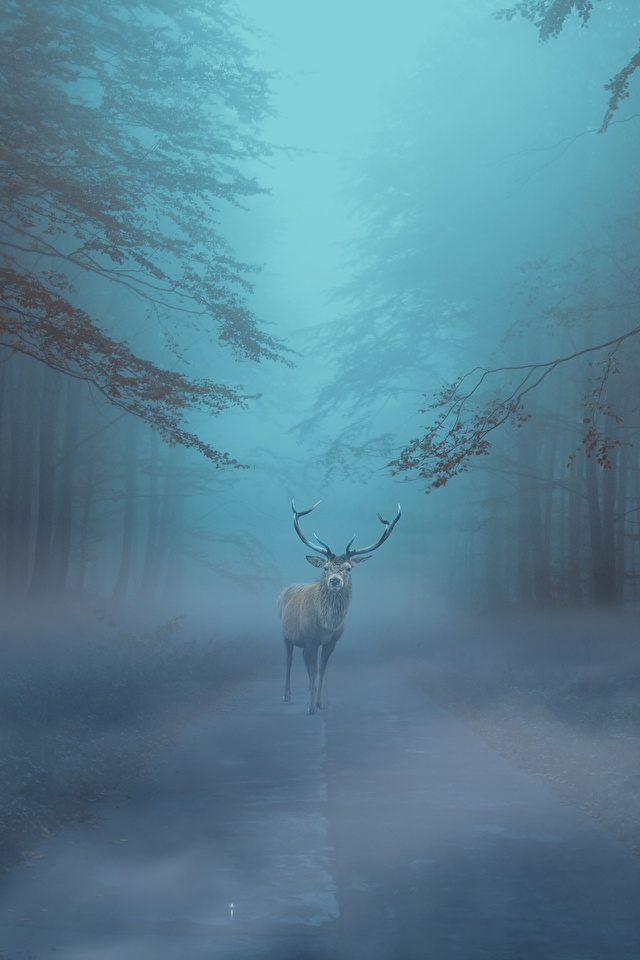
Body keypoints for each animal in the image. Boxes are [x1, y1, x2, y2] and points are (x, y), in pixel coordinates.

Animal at [279, 500, 401, 714]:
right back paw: (287, 695)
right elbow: (313, 669)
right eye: (325, 567)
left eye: (349, 568)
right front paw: (310, 707)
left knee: (303, 658)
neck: (326, 626)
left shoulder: (332, 641)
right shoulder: (310, 638)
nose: (335, 580)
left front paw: (319, 703)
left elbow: (321, 669)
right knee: (289, 659)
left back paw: (310, 690)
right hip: (286, 634)